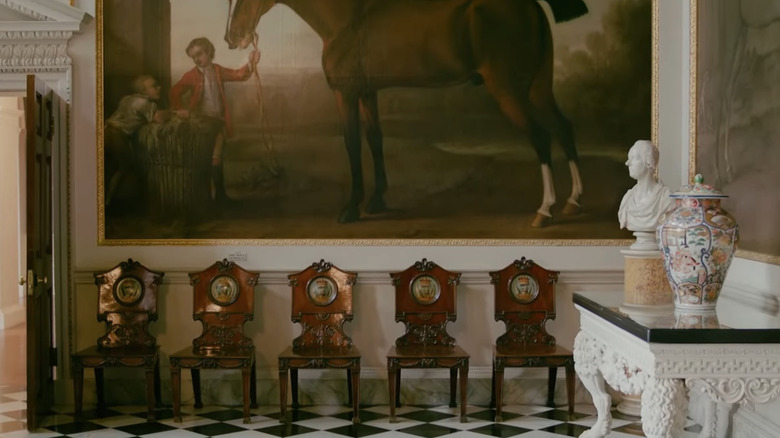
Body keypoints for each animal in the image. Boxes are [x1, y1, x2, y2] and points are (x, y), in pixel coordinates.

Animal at [224, 0, 584, 226]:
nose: (232, 37)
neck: (348, 19)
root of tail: (533, 7)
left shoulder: (346, 94)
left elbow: (352, 143)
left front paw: (351, 208)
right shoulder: (368, 93)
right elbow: (375, 138)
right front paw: (377, 201)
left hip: (508, 90)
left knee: (540, 136)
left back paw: (544, 211)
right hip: (539, 88)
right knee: (564, 129)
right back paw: (573, 202)